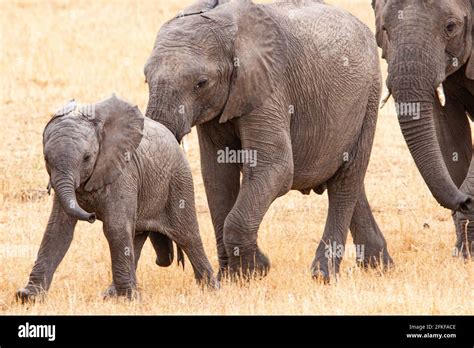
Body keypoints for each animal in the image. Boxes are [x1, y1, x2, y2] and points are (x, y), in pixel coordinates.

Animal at [16, 95, 216, 302]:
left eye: (87, 158)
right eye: (46, 159)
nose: (92, 216)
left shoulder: (124, 172)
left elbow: (115, 227)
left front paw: (128, 299)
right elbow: (57, 230)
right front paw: (27, 296)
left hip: (179, 180)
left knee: (187, 236)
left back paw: (211, 289)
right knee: (136, 236)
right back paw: (111, 294)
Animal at [143, 0, 392, 280]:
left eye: (201, 83)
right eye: (146, 79)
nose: (169, 259)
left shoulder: (269, 88)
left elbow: (276, 168)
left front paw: (257, 269)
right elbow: (217, 176)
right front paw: (232, 277)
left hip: (369, 96)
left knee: (346, 180)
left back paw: (323, 275)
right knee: (346, 179)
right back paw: (379, 266)